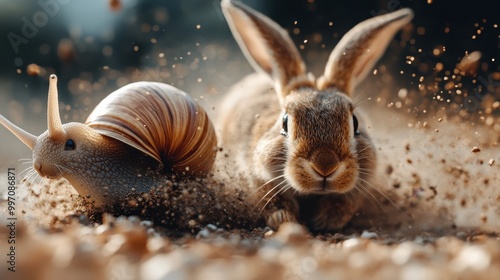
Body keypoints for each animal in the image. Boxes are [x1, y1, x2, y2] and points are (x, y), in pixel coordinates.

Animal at [219, 0, 414, 231]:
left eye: (355, 123)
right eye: (285, 123)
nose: (325, 166)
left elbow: (343, 202)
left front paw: (325, 221)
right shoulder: (254, 177)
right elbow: (275, 203)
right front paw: (286, 221)